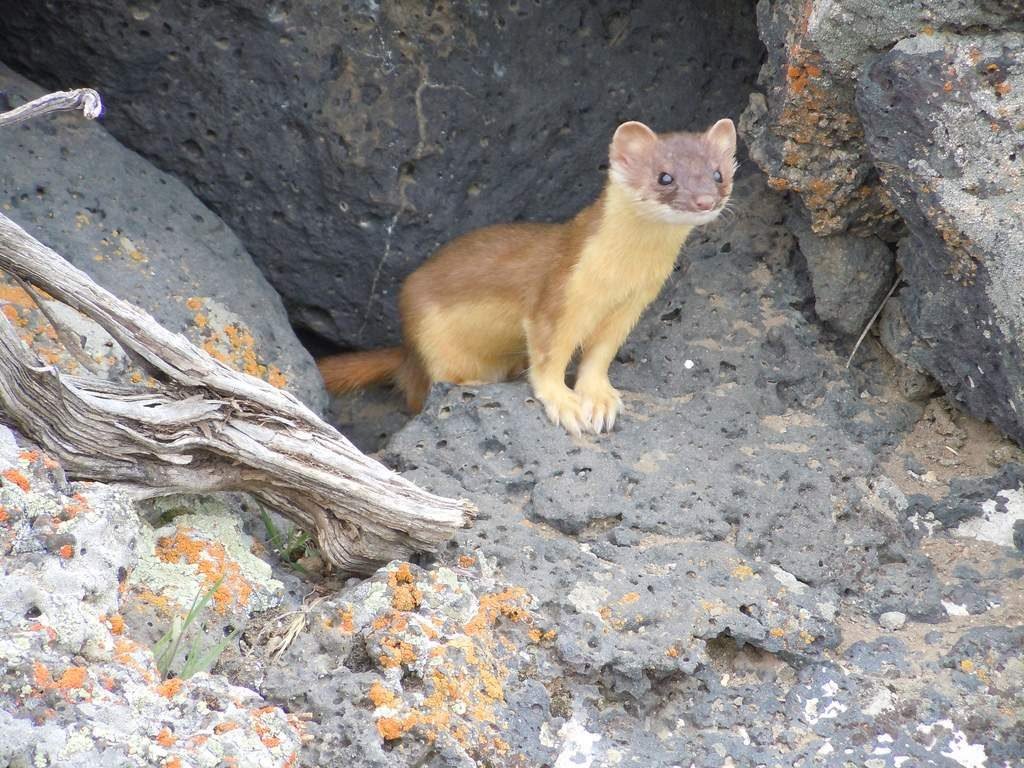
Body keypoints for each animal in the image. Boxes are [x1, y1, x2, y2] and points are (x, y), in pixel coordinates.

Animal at [319, 118, 737, 436]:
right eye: (665, 177)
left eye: (718, 173)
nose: (704, 201)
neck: (620, 277)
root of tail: (406, 351)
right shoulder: (558, 293)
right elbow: (549, 356)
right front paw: (565, 403)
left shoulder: (632, 305)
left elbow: (600, 354)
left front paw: (599, 400)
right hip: (425, 334)